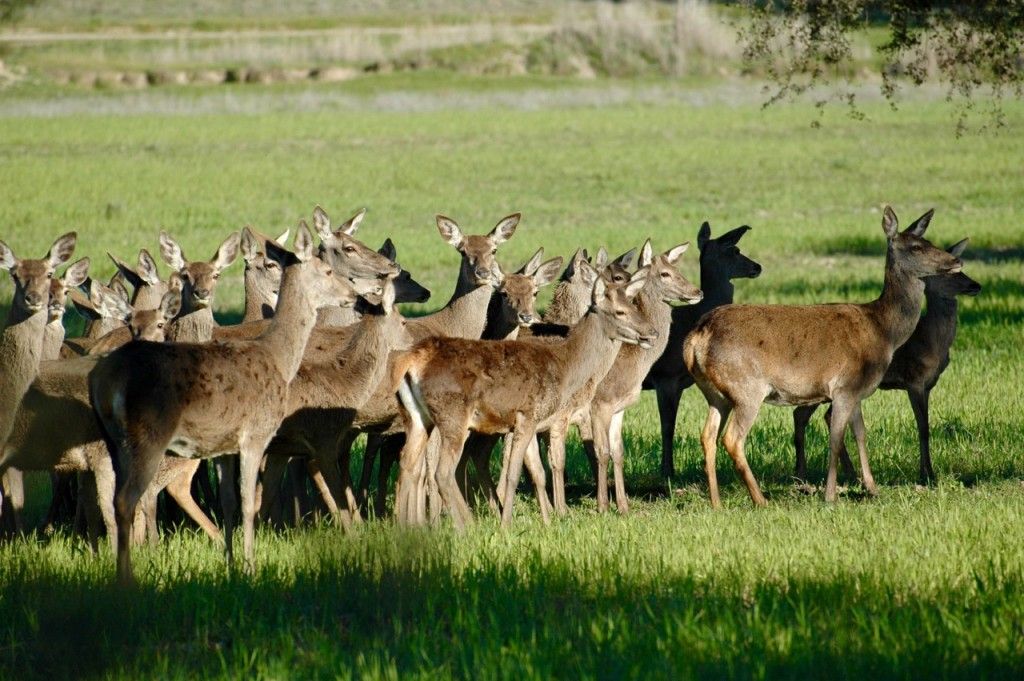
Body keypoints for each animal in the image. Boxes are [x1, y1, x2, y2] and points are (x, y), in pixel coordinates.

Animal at [89, 222, 352, 577]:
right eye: (327, 270)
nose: (353, 294)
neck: (279, 359)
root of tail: (104, 380)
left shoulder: (222, 446)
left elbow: (228, 501)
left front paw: (229, 563)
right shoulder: (255, 434)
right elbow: (248, 502)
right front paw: (250, 566)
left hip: (113, 440)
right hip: (148, 435)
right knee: (128, 499)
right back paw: (127, 576)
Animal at [391, 262, 655, 528]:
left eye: (634, 304)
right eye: (620, 311)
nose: (651, 332)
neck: (565, 367)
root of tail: (412, 362)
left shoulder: (534, 422)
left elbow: (537, 471)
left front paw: (547, 522)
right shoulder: (528, 415)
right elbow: (514, 473)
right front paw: (506, 524)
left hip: (417, 417)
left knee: (407, 463)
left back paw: (408, 527)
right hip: (452, 416)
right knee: (442, 471)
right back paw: (467, 526)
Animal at [684, 205, 962, 503]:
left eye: (929, 241)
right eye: (916, 247)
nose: (956, 260)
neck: (883, 331)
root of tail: (696, 337)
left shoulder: (857, 389)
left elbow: (860, 433)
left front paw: (872, 488)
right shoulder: (845, 386)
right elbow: (836, 437)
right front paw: (831, 495)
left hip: (716, 393)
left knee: (707, 436)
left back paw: (716, 502)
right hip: (746, 387)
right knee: (732, 439)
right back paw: (760, 500)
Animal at [790, 237, 983, 483]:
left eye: (962, 270)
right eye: (948, 273)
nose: (975, 285)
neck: (931, 342)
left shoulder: (929, 385)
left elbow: (925, 425)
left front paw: (928, 472)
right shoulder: (914, 379)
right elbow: (923, 427)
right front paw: (927, 475)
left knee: (809, 414)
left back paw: (828, 473)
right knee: (808, 415)